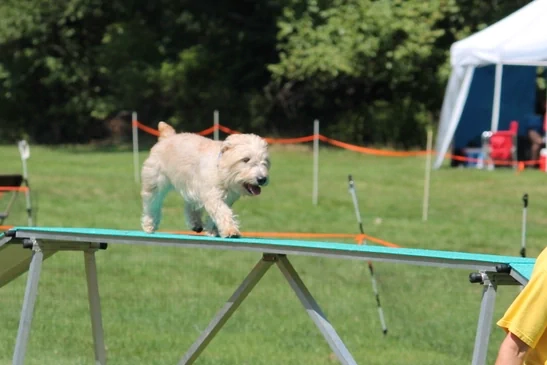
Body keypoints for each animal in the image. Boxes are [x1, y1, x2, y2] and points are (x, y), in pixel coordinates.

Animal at [140, 121, 270, 237]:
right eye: (246, 159)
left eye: (265, 161)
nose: (262, 179)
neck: (220, 169)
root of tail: (168, 137)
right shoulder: (213, 196)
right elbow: (223, 212)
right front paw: (230, 230)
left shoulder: (225, 198)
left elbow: (217, 214)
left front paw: (213, 230)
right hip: (154, 185)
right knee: (152, 205)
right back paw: (149, 224)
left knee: (190, 206)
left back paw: (196, 224)